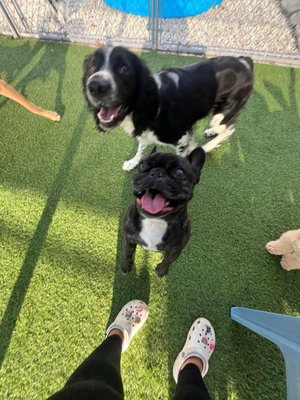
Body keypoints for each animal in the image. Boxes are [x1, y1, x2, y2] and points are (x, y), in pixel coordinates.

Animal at [82, 45, 253, 170]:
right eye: (92, 67)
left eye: (124, 68)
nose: (95, 86)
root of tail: (244, 62)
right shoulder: (145, 133)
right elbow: (141, 148)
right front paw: (133, 162)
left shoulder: (181, 138)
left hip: (222, 113)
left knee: (229, 128)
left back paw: (208, 146)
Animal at [120, 148, 205, 278]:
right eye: (142, 166)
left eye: (180, 173)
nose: (156, 172)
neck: (154, 221)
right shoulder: (128, 239)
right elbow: (126, 253)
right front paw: (125, 267)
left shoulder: (175, 249)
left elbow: (167, 260)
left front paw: (161, 272)